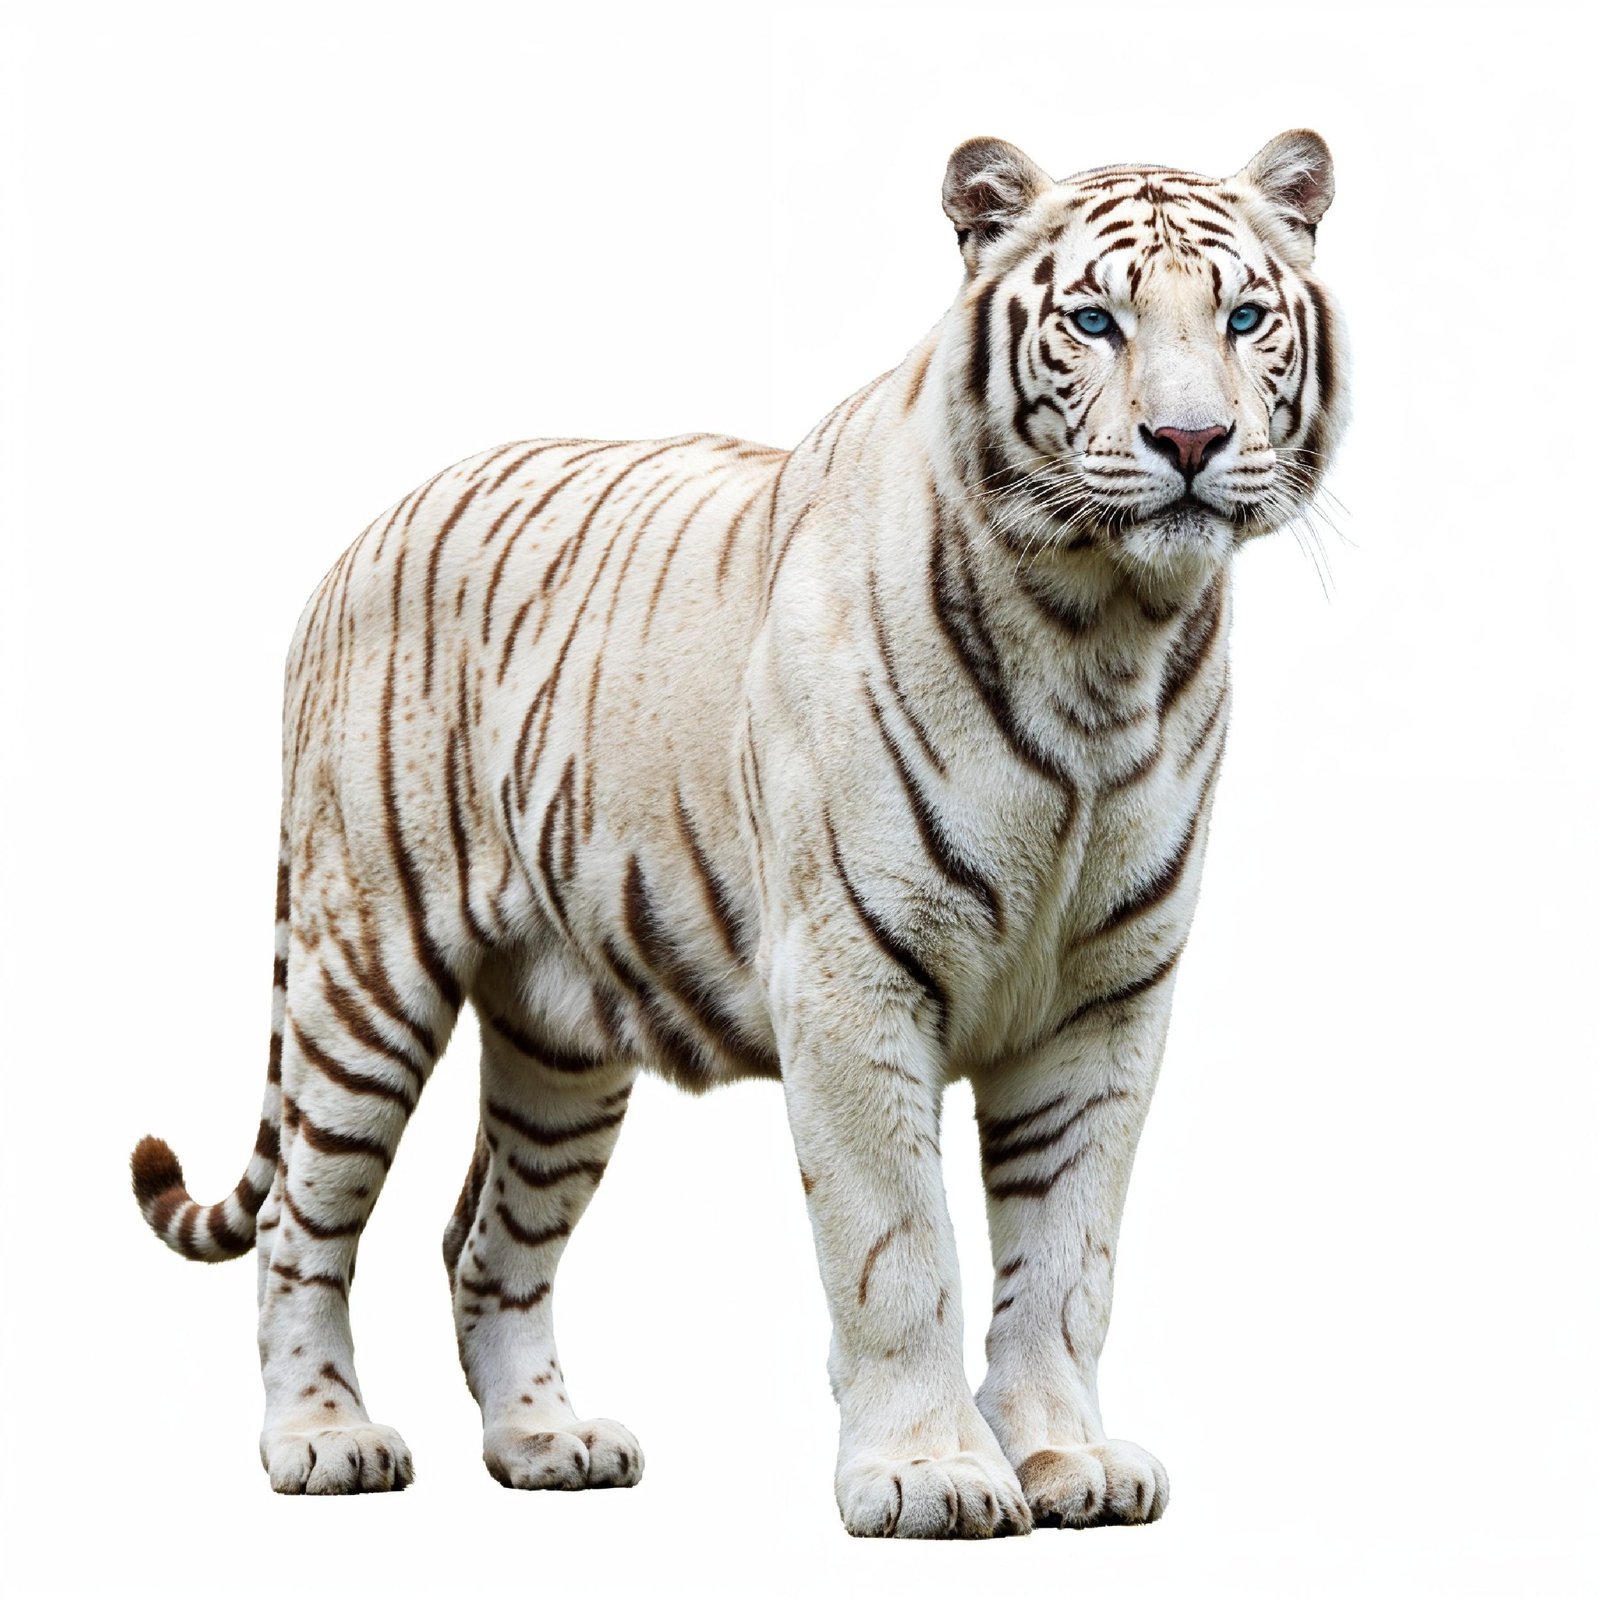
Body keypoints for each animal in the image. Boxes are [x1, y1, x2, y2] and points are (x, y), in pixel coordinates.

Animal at [130, 128, 1345, 1538]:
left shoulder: (1105, 1000)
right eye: (1095, 321)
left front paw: (1063, 1457)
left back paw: (546, 1440)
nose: (1191, 437)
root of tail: (356, 540)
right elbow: (899, 1249)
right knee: (302, 1227)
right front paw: (928, 1472)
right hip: (361, 972)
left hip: (559, 1035)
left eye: (1244, 317)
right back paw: (323, 1440)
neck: (1105, 630)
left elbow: (1065, 1257)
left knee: (485, 1243)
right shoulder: (853, 978)